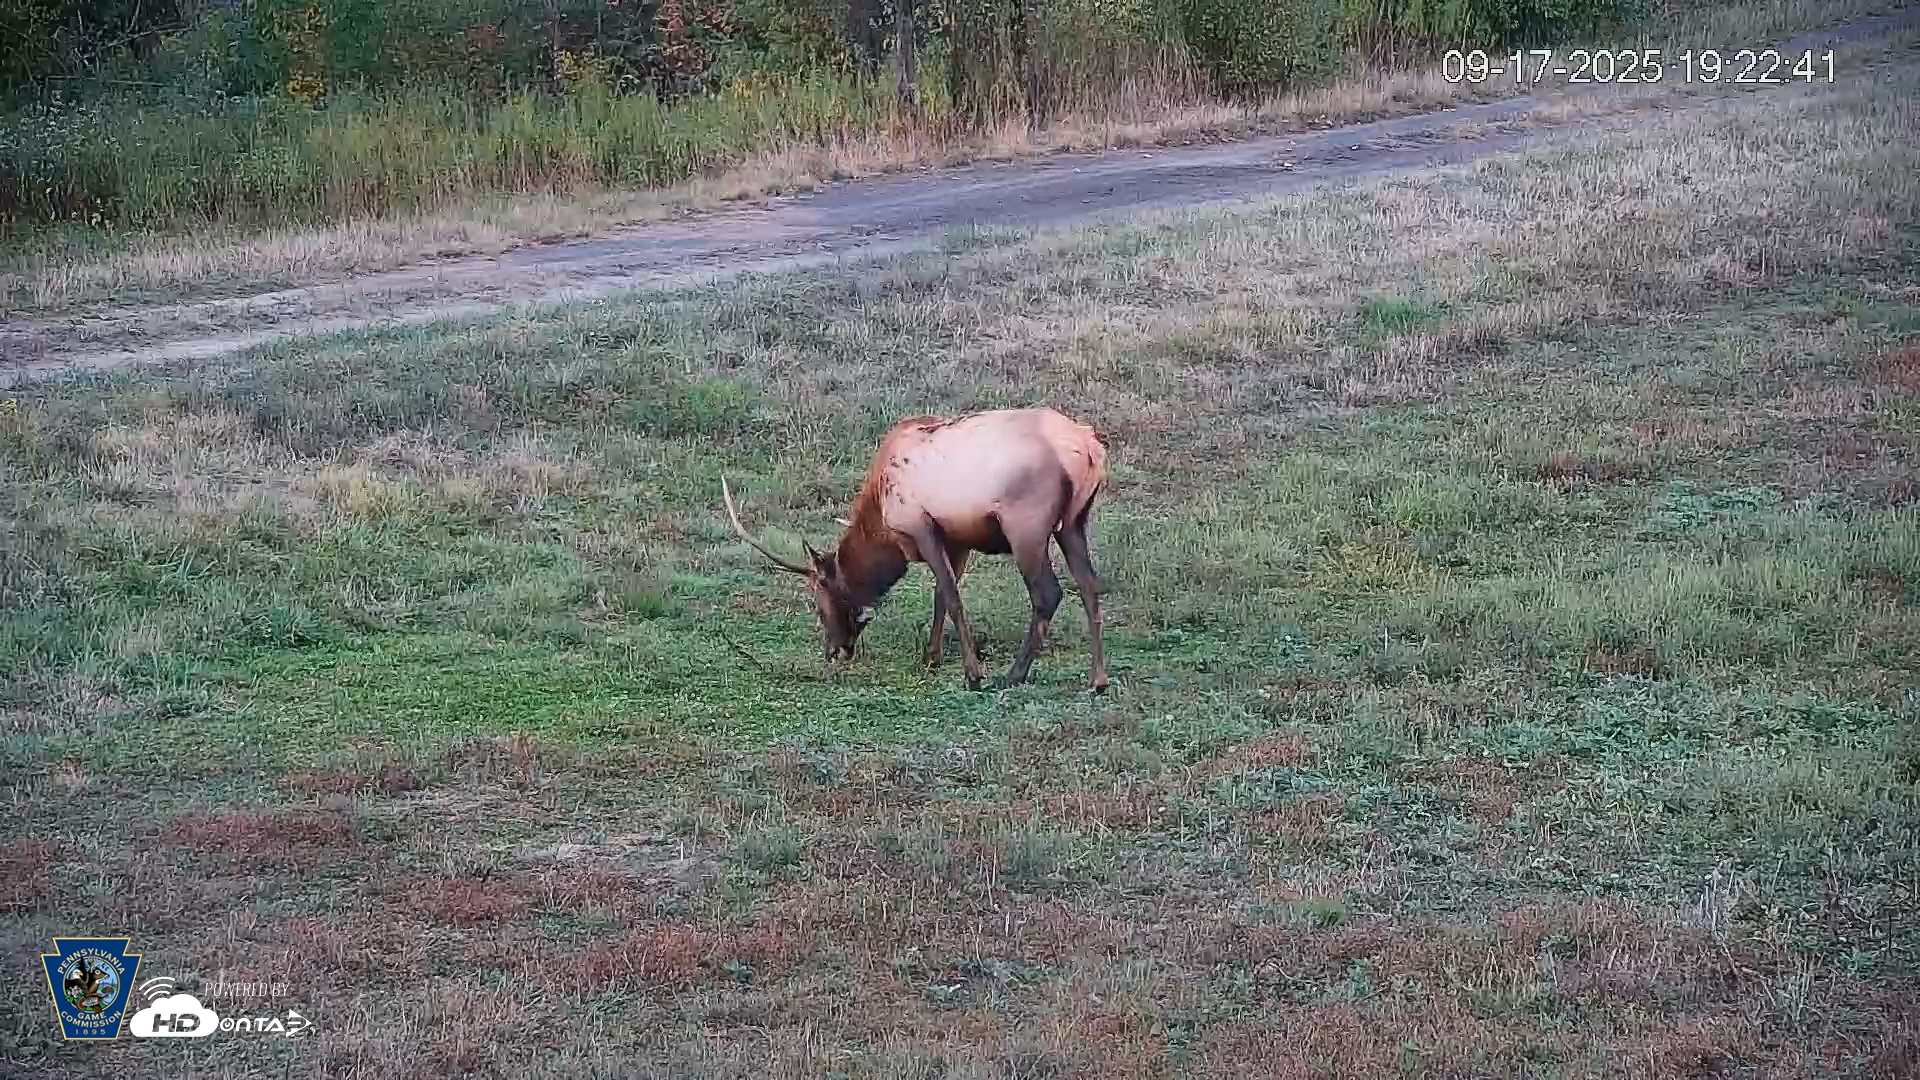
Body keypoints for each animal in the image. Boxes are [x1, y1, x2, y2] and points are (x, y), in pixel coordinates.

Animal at [721, 406, 1111, 693]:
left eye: (820, 600)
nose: (833, 650)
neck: (880, 512)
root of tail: (1089, 448)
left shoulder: (921, 526)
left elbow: (951, 596)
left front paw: (973, 674)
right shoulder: (956, 539)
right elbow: (941, 595)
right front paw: (931, 656)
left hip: (1025, 525)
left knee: (1048, 593)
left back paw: (1015, 674)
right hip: (1074, 522)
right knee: (1089, 585)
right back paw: (1098, 680)